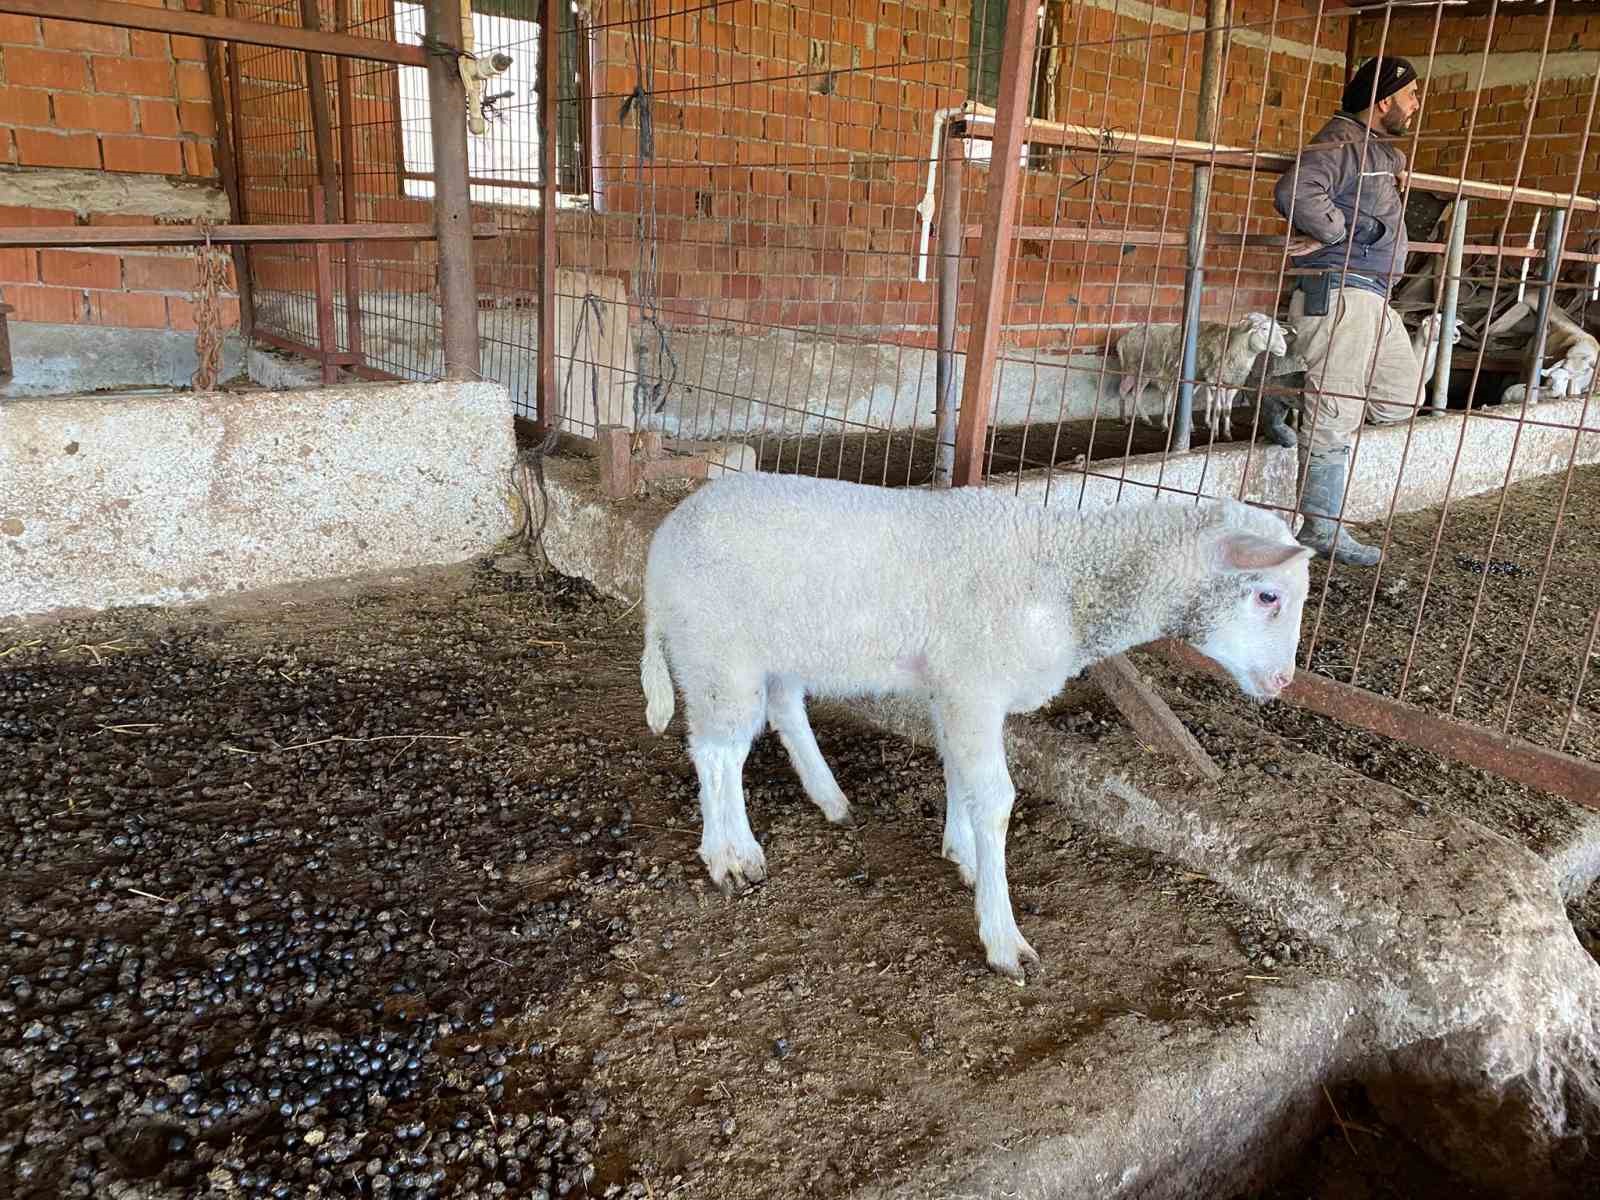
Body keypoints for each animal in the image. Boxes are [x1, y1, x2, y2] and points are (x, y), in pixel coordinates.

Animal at [636, 473, 1312, 979]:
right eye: (1268, 597)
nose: (1283, 684)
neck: (1068, 580)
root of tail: (662, 545)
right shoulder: (974, 683)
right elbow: (995, 798)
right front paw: (1003, 935)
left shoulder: (956, 689)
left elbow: (959, 773)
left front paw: (960, 852)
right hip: (718, 652)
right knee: (716, 751)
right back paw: (730, 853)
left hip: (776, 648)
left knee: (780, 712)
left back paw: (828, 799)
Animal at [1120, 310, 1292, 441]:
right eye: (1264, 329)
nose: (1283, 349)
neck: (1236, 348)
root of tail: (1125, 338)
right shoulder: (1215, 381)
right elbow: (1218, 408)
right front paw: (1215, 433)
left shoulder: (1232, 384)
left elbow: (1227, 409)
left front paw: (1227, 433)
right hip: (1145, 370)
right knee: (1142, 393)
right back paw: (1150, 420)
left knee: (1130, 390)